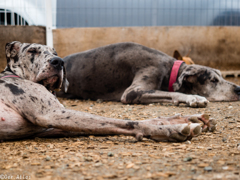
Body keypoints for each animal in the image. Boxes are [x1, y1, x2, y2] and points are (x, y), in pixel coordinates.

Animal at [0, 41, 216, 141]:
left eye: (55, 52)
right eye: (32, 51)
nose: (58, 61)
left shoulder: (50, 126)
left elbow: (119, 122)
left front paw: (186, 119)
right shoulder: (52, 113)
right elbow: (127, 122)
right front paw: (170, 129)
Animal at [57, 42, 240, 107]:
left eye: (221, 76)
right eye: (213, 80)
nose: (239, 89)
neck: (169, 69)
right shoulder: (131, 92)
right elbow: (171, 93)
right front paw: (193, 98)